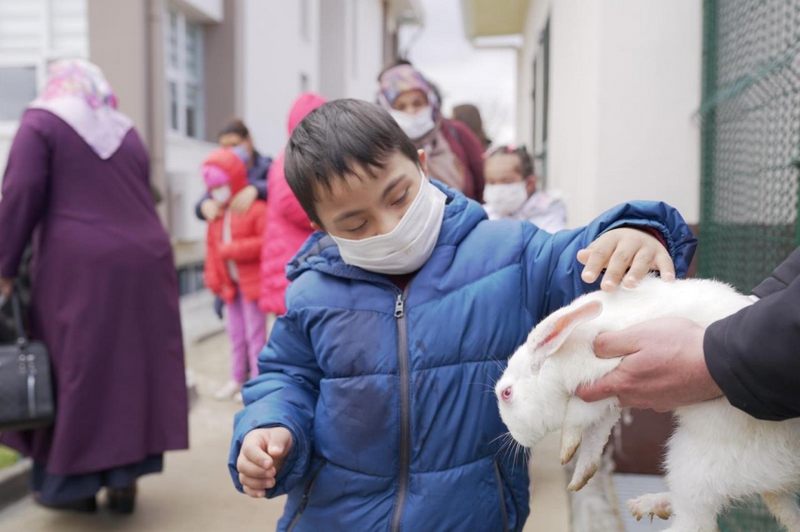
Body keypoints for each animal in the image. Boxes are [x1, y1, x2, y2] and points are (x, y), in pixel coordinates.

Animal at [494, 278, 800, 532]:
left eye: (506, 393)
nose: (516, 438)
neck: (564, 352)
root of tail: (779, 481)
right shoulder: (610, 399)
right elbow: (594, 439)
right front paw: (579, 475)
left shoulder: (605, 378)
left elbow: (576, 416)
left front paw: (565, 446)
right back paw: (652, 503)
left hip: (691, 465)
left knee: (696, 523)